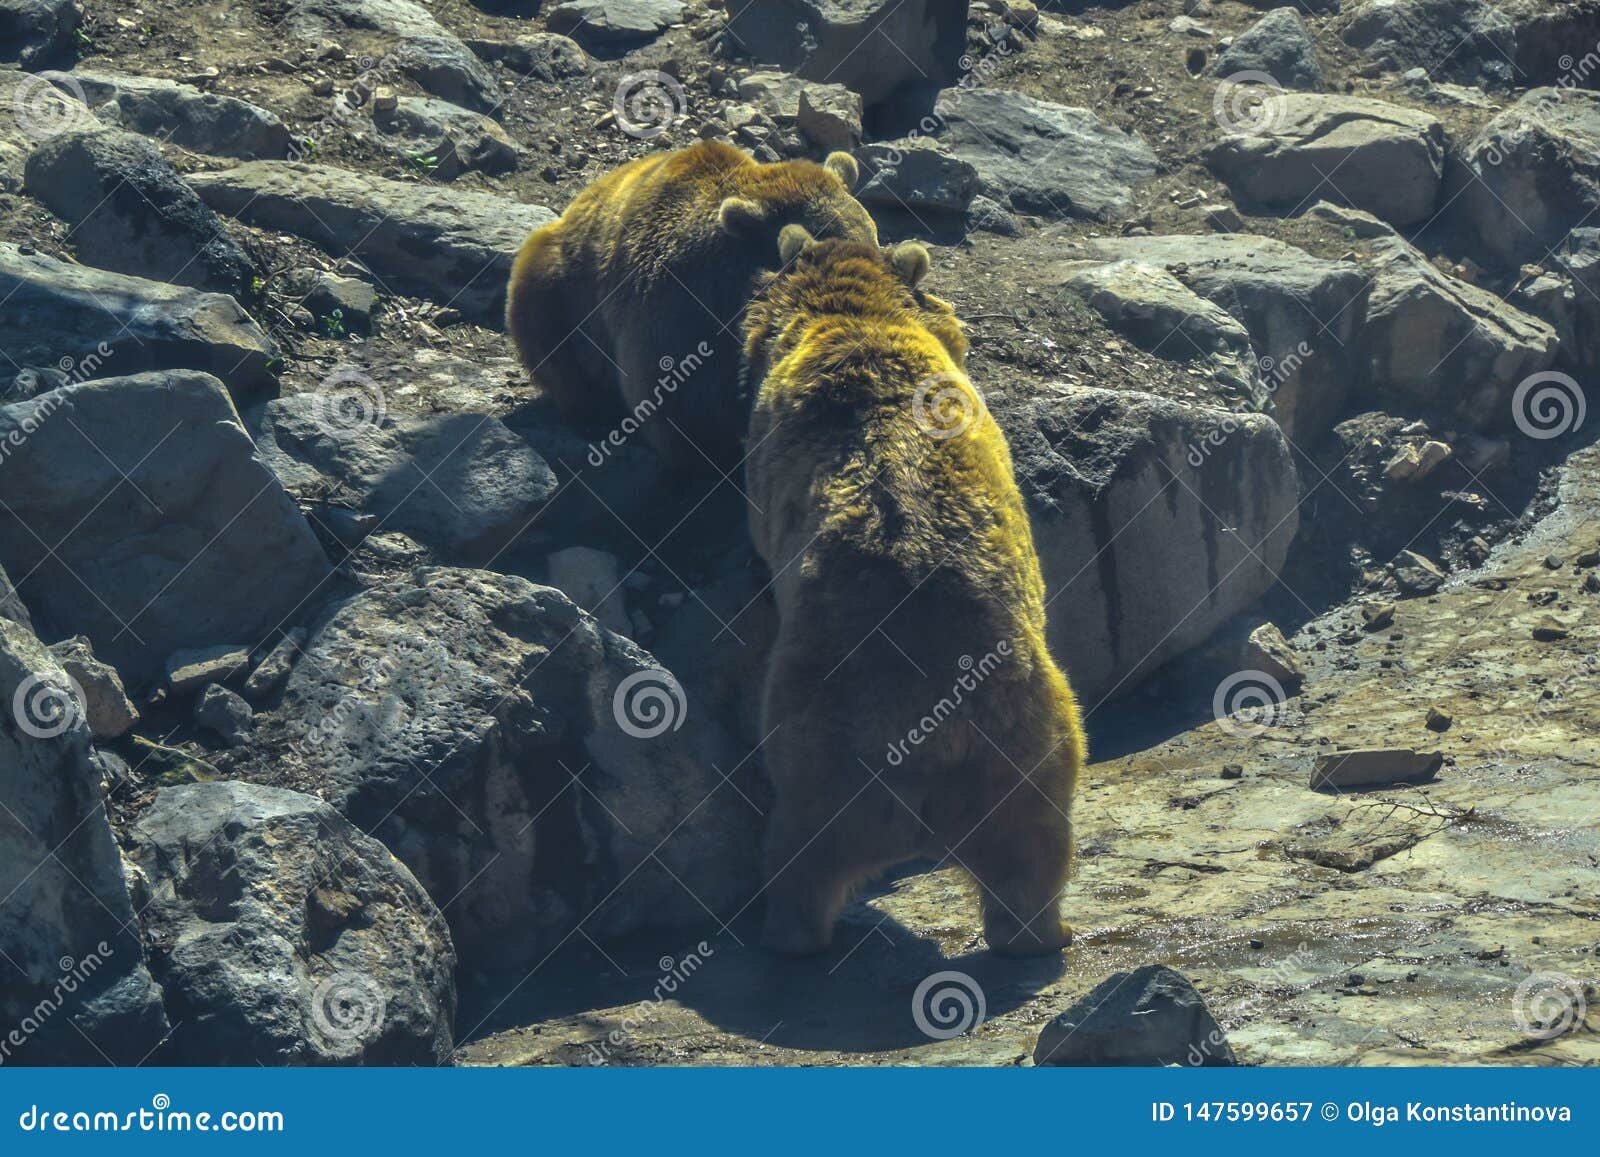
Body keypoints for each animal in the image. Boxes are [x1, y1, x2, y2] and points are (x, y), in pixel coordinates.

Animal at [741, 226, 1086, 957]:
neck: (852, 319)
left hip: (825, 736)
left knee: (802, 851)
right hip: (1019, 742)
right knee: (1032, 852)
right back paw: (1043, 930)